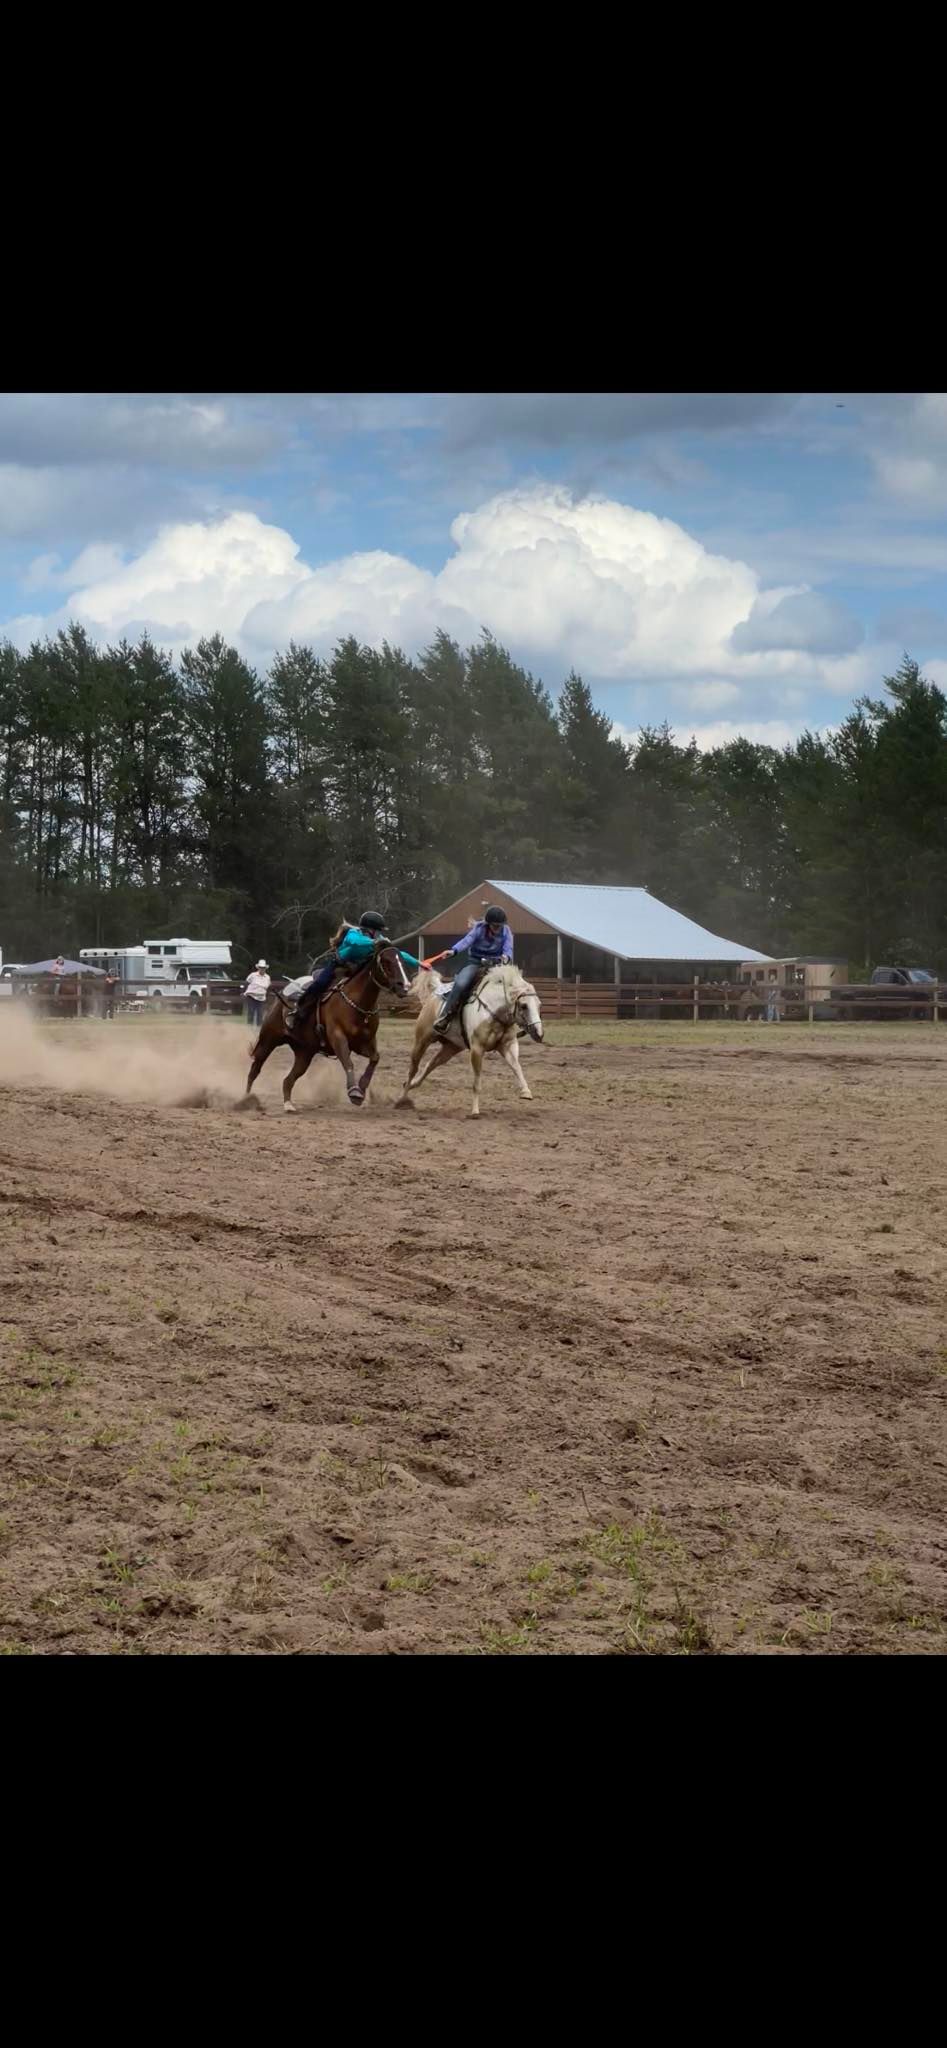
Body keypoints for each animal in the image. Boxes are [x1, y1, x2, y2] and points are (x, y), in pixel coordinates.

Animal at [243, 946, 409, 1114]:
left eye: (402, 960)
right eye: (386, 962)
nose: (405, 986)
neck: (357, 1003)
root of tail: (281, 997)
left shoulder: (363, 1043)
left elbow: (375, 1058)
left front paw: (361, 1088)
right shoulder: (338, 1038)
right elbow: (348, 1062)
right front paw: (354, 1092)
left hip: (304, 1053)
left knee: (288, 1080)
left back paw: (288, 1104)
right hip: (268, 1040)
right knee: (254, 1070)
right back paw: (247, 1100)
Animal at [395, 962, 545, 1122]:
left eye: (539, 1004)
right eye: (524, 1006)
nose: (539, 1034)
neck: (493, 1009)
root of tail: (435, 992)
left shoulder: (508, 1045)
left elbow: (516, 1067)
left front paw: (526, 1092)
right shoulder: (477, 1049)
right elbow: (476, 1083)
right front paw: (475, 1111)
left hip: (451, 1047)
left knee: (431, 1064)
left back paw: (413, 1085)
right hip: (422, 1040)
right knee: (413, 1069)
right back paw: (402, 1099)